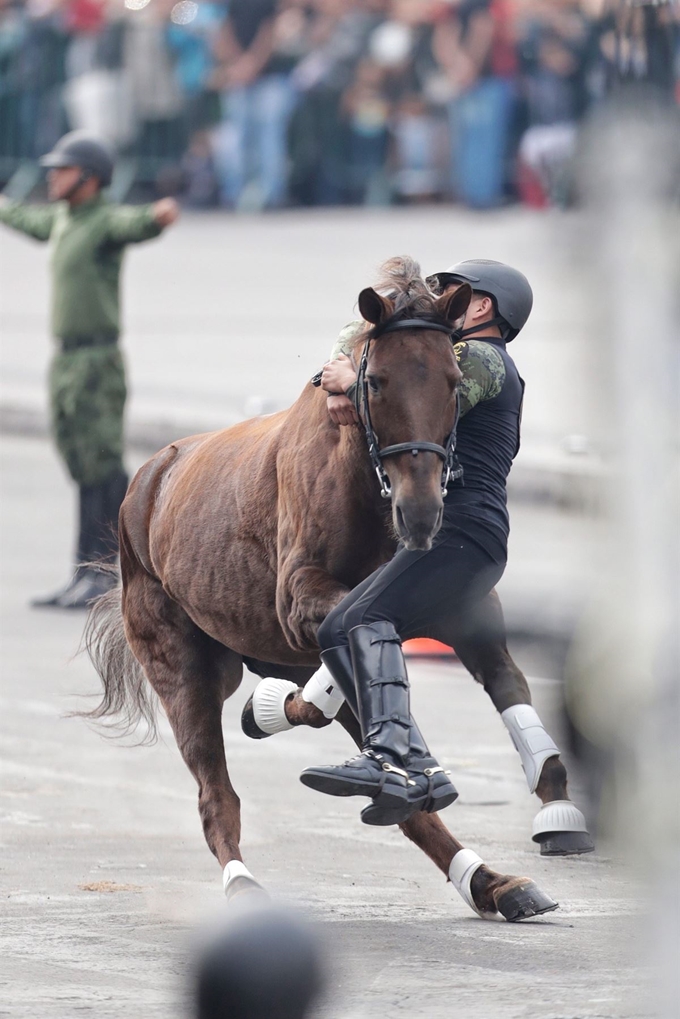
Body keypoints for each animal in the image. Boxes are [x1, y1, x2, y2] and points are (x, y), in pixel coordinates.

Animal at [85, 256, 562, 925]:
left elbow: (477, 674)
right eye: (378, 382)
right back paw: (246, 880)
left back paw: (482, 875)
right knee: (216, 794)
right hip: (182, 668)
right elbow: (356, 643)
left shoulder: (449, 605)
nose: (421, 515)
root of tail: (150, 479)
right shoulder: (302, 600)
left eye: (452, 380)